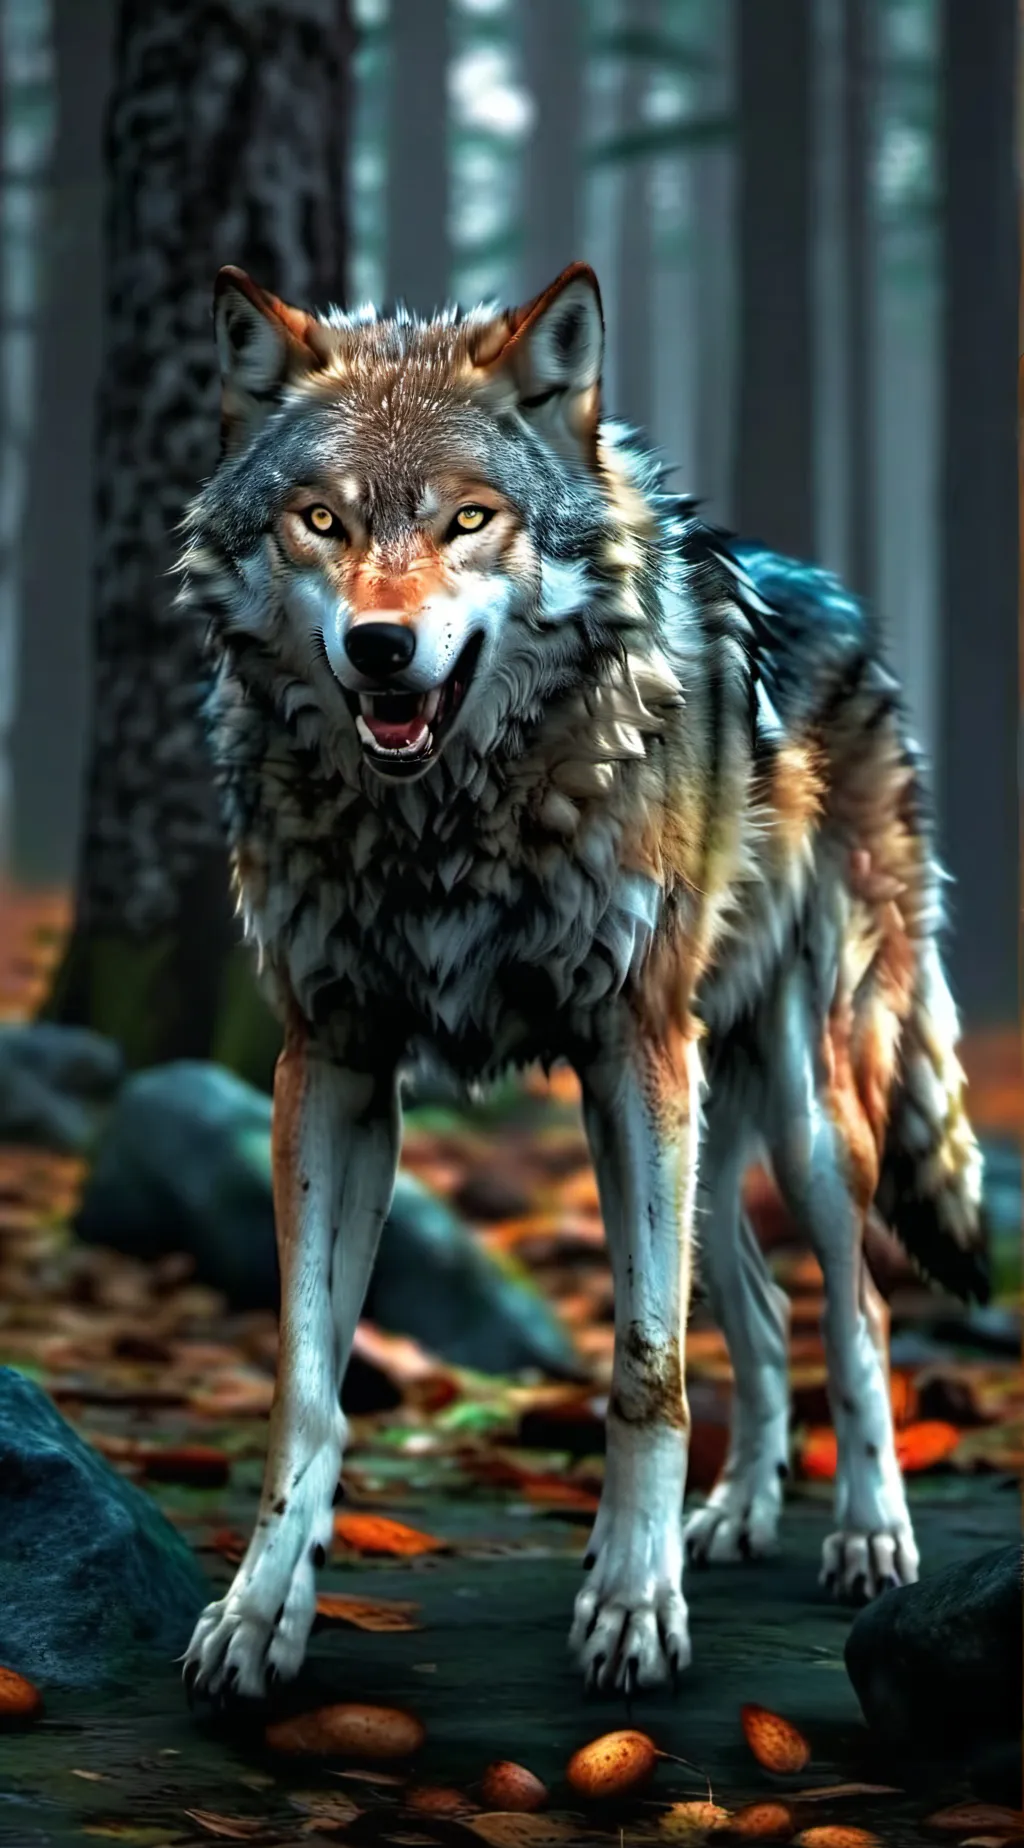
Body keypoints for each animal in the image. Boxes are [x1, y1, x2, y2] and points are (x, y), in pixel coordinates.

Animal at [179, 261, 986, 1702]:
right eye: (321, 520)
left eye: (470, 519)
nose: (380, 649)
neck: (441, 826)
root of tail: (845, 607)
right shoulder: (332, 1064)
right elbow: (308, 1383)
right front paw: (260, 1609)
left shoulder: (626, 1052)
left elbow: (645, 1373)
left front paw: (630, 1606)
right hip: (705, 1126)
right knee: (761, 1310)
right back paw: (737, 1516)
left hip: (795, 1116)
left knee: (857, 1311)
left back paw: (866, 1538)